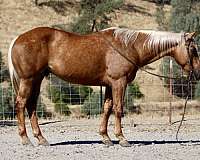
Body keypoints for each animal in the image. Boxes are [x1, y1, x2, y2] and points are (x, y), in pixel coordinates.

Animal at [8, 26, 200, 147]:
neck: (130, 46)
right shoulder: (119, 82)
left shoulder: (109, 85)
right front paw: (121, 138)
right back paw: (25, 139)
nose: (197, 73)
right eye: (193, 50)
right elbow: (118, 109)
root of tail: (18, 38)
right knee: (21, 104)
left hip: (37, 79)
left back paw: (41, 139)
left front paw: (105, 137)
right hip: (28, 80)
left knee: (32, 106)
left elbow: (107, 108)